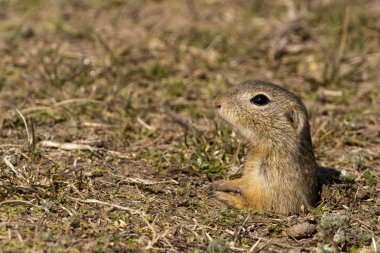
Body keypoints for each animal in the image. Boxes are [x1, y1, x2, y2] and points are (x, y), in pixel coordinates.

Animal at [214, 80, 318, 213]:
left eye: (260, 99)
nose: (217, 102)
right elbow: (242, 182)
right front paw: (220, 183)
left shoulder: (274, 187)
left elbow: (254, 203)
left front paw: (225, 196)